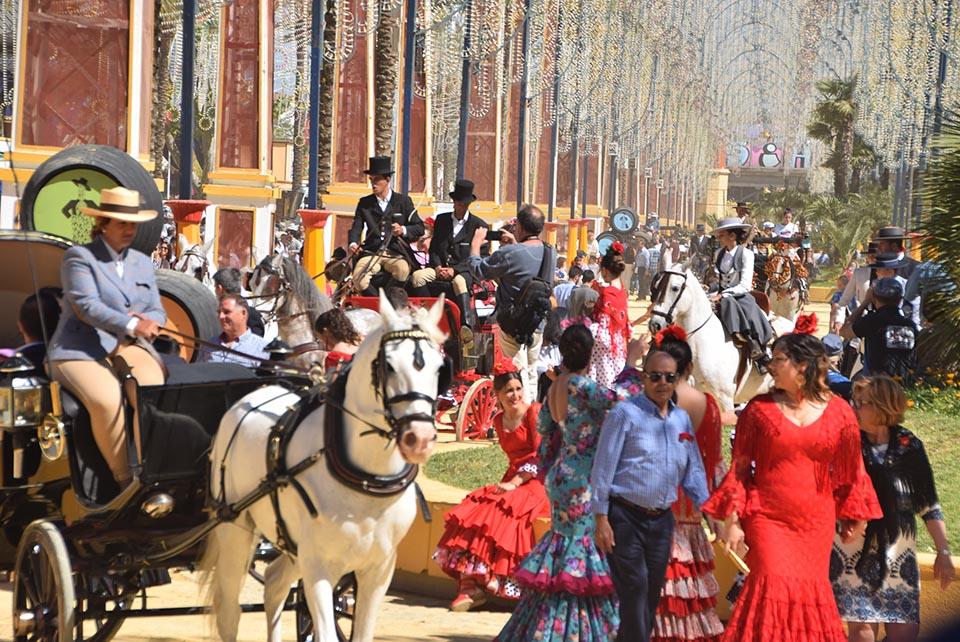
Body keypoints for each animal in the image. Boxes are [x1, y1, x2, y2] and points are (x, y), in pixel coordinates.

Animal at [202, 290, 446, 640]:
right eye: (388, 365)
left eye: (440, 367)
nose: (420, 438)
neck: (367, 478)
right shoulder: (317, 564)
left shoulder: (378, 568)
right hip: (235, 529)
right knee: (229, 611)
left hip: (292, 545)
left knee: (274, 584)